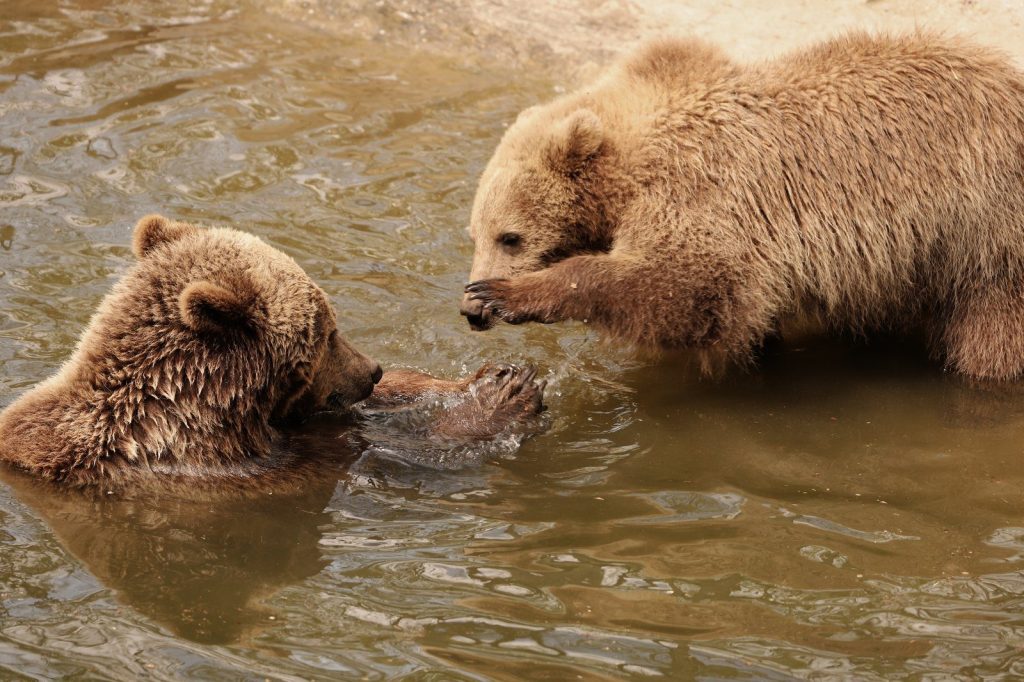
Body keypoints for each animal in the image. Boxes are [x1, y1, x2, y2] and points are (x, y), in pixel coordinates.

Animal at [0, 215, 545, 490]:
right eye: (328, 332)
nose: (371, 370)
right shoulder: (243, 473)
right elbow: (380, 456)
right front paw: (505, 397)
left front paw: (486, 377)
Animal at [459, 32, 1024, 380]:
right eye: (475, 234)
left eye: (511, 237)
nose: (470, 311)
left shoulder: (704, 189)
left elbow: (687, 286)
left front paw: (510, 293)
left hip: (985, 233)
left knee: (991, 338)